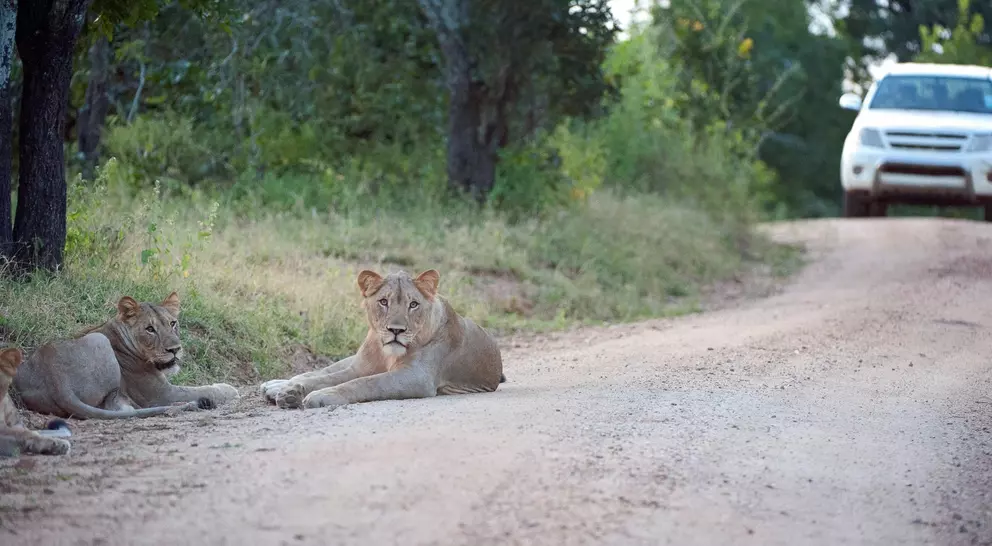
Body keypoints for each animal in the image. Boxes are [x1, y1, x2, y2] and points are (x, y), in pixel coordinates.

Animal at [13, 292, 240, 420]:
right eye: (150, 329)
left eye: (172, 323)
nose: (175, 349)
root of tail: (55, 379)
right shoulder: (161, 393)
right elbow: (203, 389)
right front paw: (230, 389)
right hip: (99, 341)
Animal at [260, 269, 506, 410]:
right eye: (383, 302)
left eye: (413, 304)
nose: (396, 330)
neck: (386, 354)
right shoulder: (359, 367)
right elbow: (328, 377)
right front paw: (293, 391)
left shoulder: (416, 377)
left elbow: (365, 383)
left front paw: (321, 395)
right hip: (354, 359)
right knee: (320, 371)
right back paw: (277, 386)